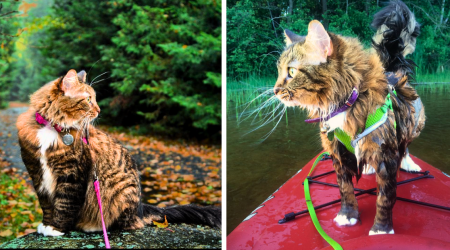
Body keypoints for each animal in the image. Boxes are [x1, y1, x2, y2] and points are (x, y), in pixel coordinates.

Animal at [16, 69, 221, 236]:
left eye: (95, 99)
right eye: (88, 100)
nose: (99, 110)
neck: (52, 128)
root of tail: (140, 208)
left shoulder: (73, 175)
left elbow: (64, 204)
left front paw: (56, 229)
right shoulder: (37, 173)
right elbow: (47, 205)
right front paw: (46, 225)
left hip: (120, 190)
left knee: (126, 223)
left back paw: (93, 226)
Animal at [274, 0, 426, 234]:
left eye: (291, 72)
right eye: (279, 70)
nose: (274, 90)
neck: (346, 103)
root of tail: (392, 71)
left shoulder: (387, 154)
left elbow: (385, 197)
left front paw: (381, 229)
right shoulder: (338, 152)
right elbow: (345, 189)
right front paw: (348, 216)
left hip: (414, 123)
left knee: (406, 144)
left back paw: (409, 163)